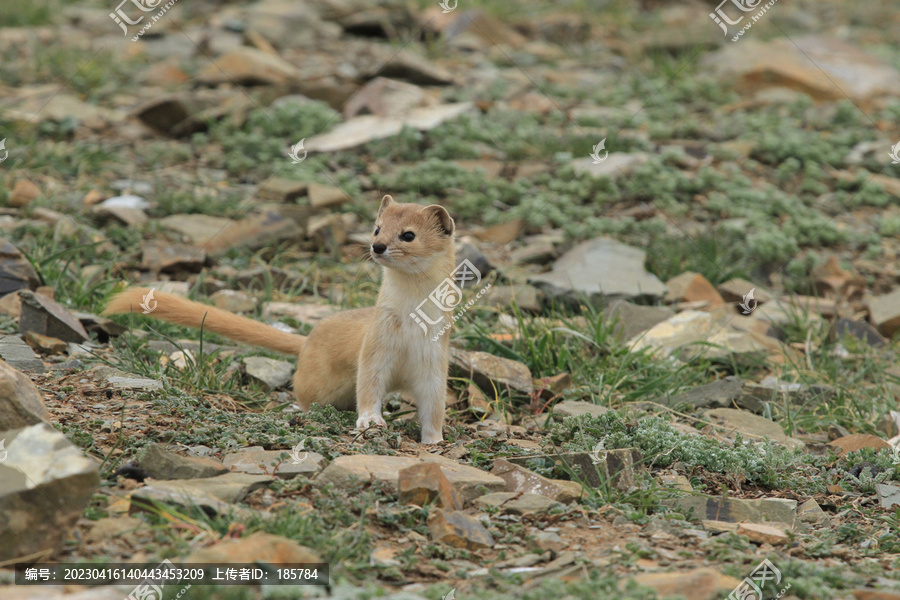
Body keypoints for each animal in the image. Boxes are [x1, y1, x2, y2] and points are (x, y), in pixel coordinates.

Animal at [104, 195, 458, 442]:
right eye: (377, 227)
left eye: (408, 234)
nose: (378, 246)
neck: (410, 322)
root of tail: (308, 337)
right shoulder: (376, 345)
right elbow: (369, 386)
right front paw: (371, 421)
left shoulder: (435, 357)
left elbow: (433, 403)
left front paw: (434, 439)